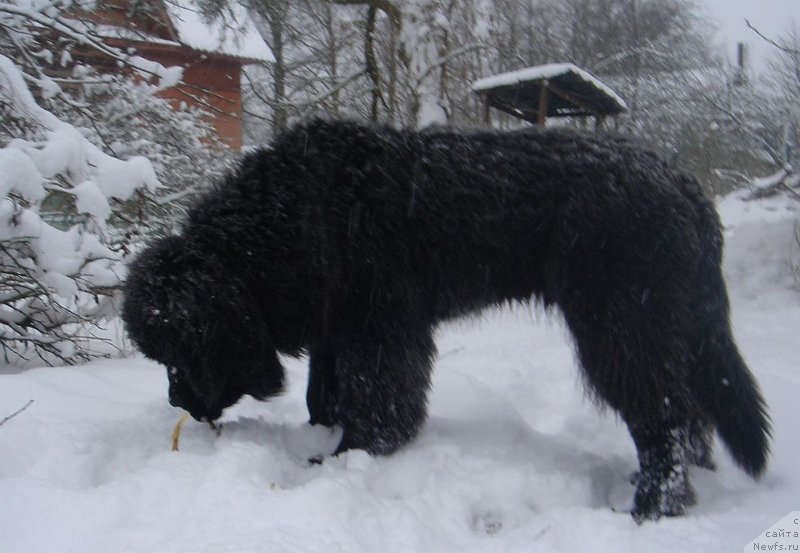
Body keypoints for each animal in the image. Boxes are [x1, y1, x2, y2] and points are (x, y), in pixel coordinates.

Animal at [123, 118, 768, 520]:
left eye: (180, 351)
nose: (178, 402)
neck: (284, 223)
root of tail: (686, 186)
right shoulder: (339, 325)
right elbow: (324, 393)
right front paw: (325, 436)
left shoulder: (380, 328)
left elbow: (376, 400)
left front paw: (348, 457)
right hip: (666, 329)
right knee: (691, 413)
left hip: (621, 329)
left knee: (666, 419)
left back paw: (650, 507)